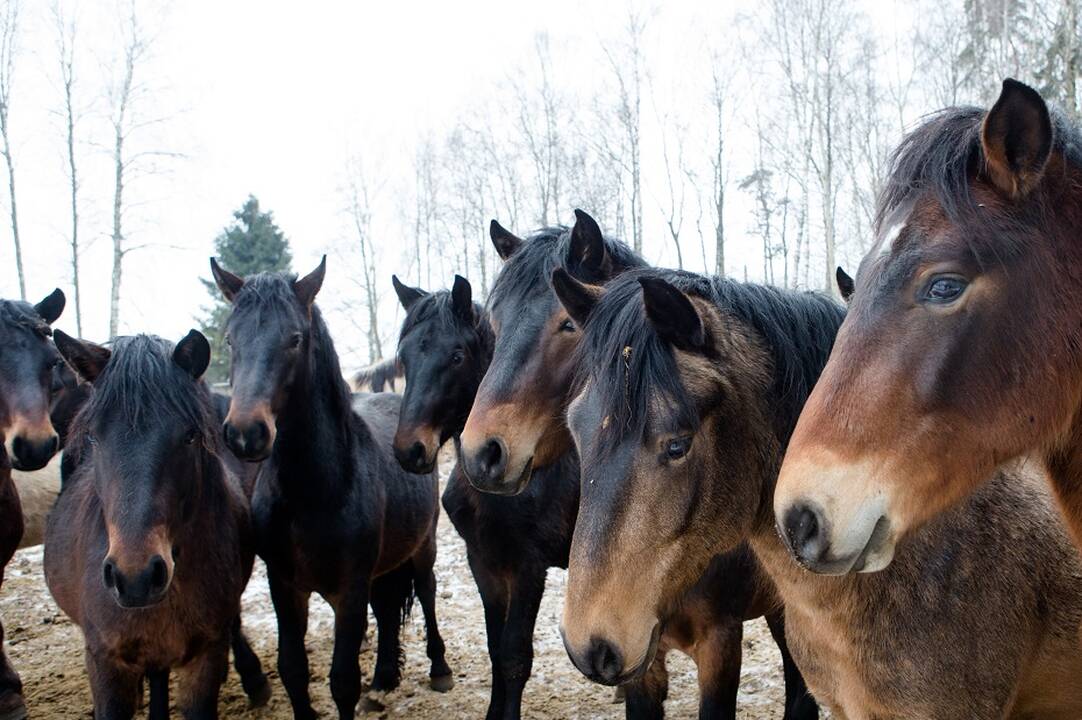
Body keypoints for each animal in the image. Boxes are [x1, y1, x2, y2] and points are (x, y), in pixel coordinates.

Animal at [210, 258, 452, 718]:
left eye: (295, 338)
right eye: (231, 338)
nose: (246, 434)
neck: (313, 491)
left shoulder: (349, 590)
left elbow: (342, 680)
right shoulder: (285, 586)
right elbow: (293, 670)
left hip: (423, 544)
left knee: (427, 593)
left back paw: (439, 669)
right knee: (387, 608)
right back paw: (383, 679)